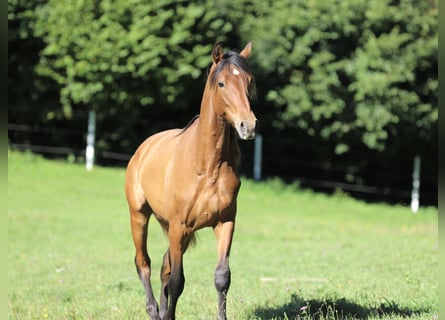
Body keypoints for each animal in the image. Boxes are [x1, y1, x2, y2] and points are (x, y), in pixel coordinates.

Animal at [124, 42, 256, 320]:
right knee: (144, 263)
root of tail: (144, 148)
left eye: (248, 81)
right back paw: (154, 311)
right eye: (222, 83)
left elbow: (221, 277)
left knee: (163, 266)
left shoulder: (225, 223)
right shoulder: (179, 226)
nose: (248, 126)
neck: (207, 167)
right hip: (140, 215)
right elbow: (177, 281)